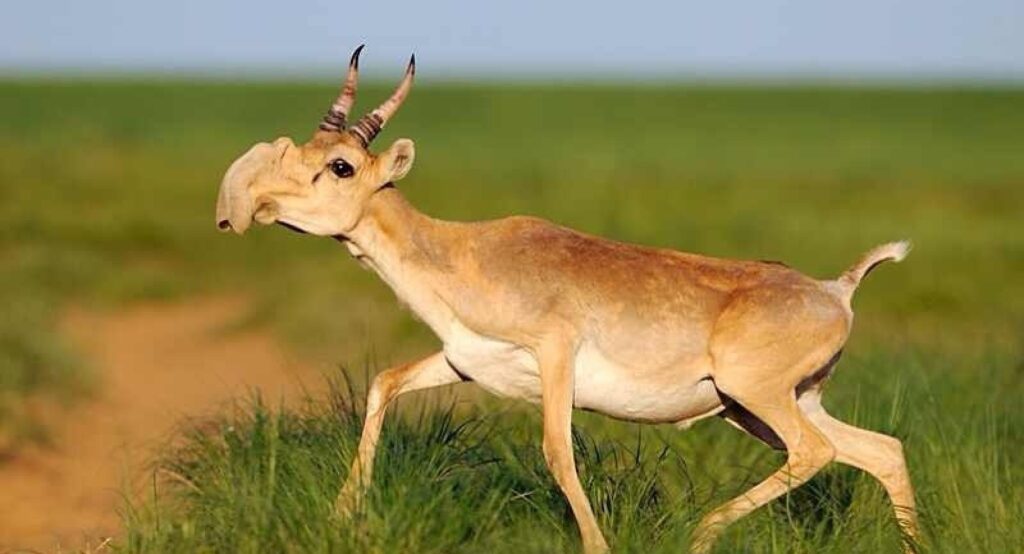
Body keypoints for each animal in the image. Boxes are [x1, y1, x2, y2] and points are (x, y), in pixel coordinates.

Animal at [216, 46, 921, 548]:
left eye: (340, 166)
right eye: (306, 146)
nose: (253, 204)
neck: (464, 252)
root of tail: (836, 290)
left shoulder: (555, 356)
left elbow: (558, 453)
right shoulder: (462, 362)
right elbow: (383, 383)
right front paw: (342, 517)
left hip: (756, 398)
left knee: (819, 452)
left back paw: (701, 533)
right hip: (769, 406)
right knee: (881, 451)